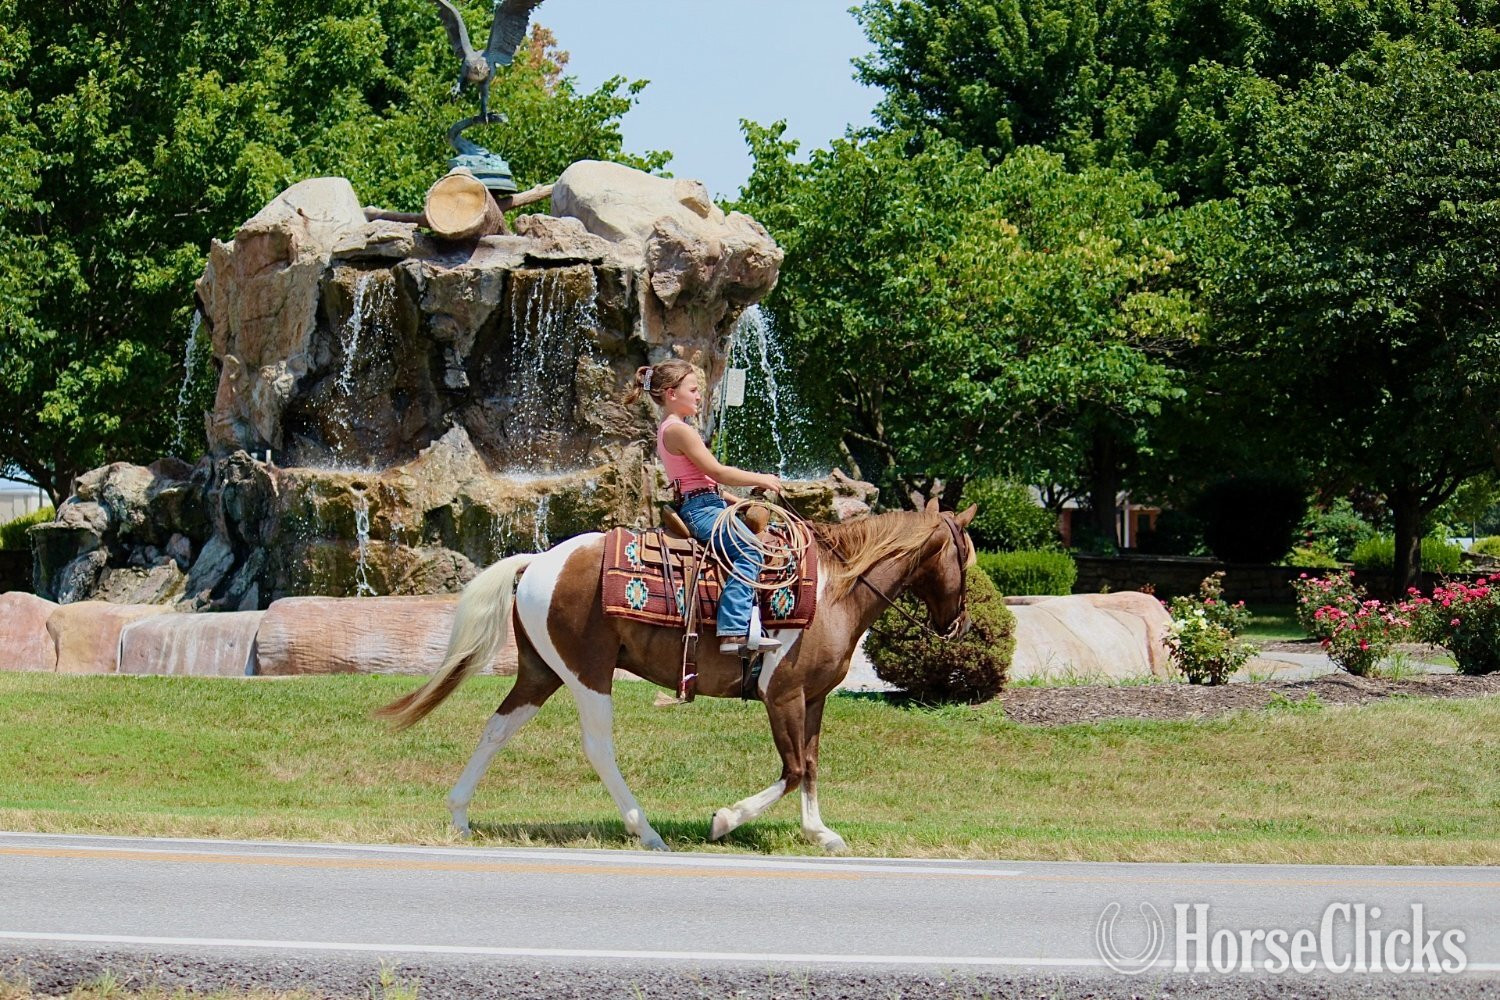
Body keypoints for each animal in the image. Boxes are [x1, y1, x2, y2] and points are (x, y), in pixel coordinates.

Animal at [377, 498, 978, 853]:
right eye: (967, 557)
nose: (959, 624)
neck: (834, 589)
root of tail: (537, 561)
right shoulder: (780, 693)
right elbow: (791, 769)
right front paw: (725, 819)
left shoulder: (813, 698)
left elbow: (809, 765)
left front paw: (820, 832)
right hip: (587, 673)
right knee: (597, 746)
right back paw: (646, 830)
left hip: (540, 671)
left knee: (497, 728)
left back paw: (459, 816)